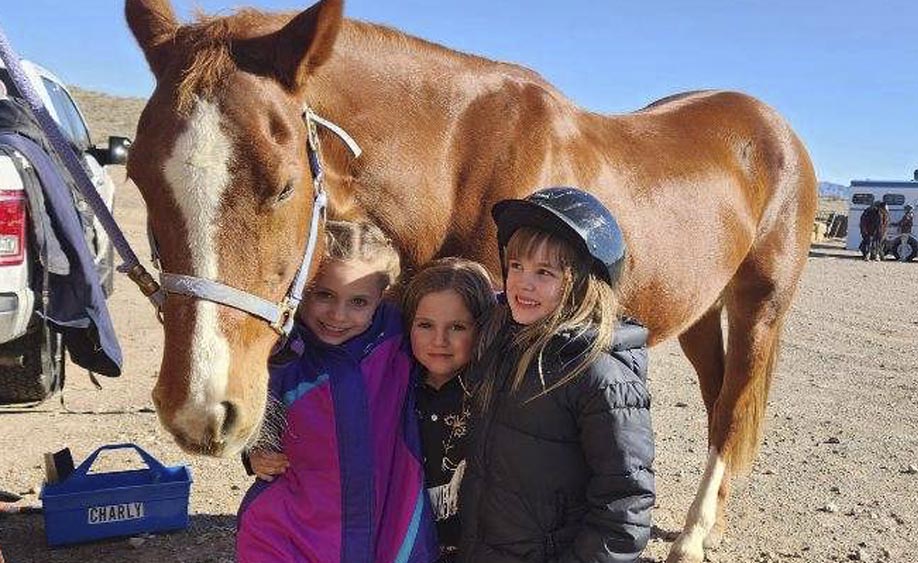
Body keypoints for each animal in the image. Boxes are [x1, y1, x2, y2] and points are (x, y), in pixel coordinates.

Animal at [124, 1, 817, 561]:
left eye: (284, 185)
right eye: (138, 178)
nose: (200, 409)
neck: (456, 161)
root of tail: (775, 128)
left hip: (759, 307)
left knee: (732, 407)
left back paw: (695, 535)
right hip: (702, 311)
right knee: (718, 398)